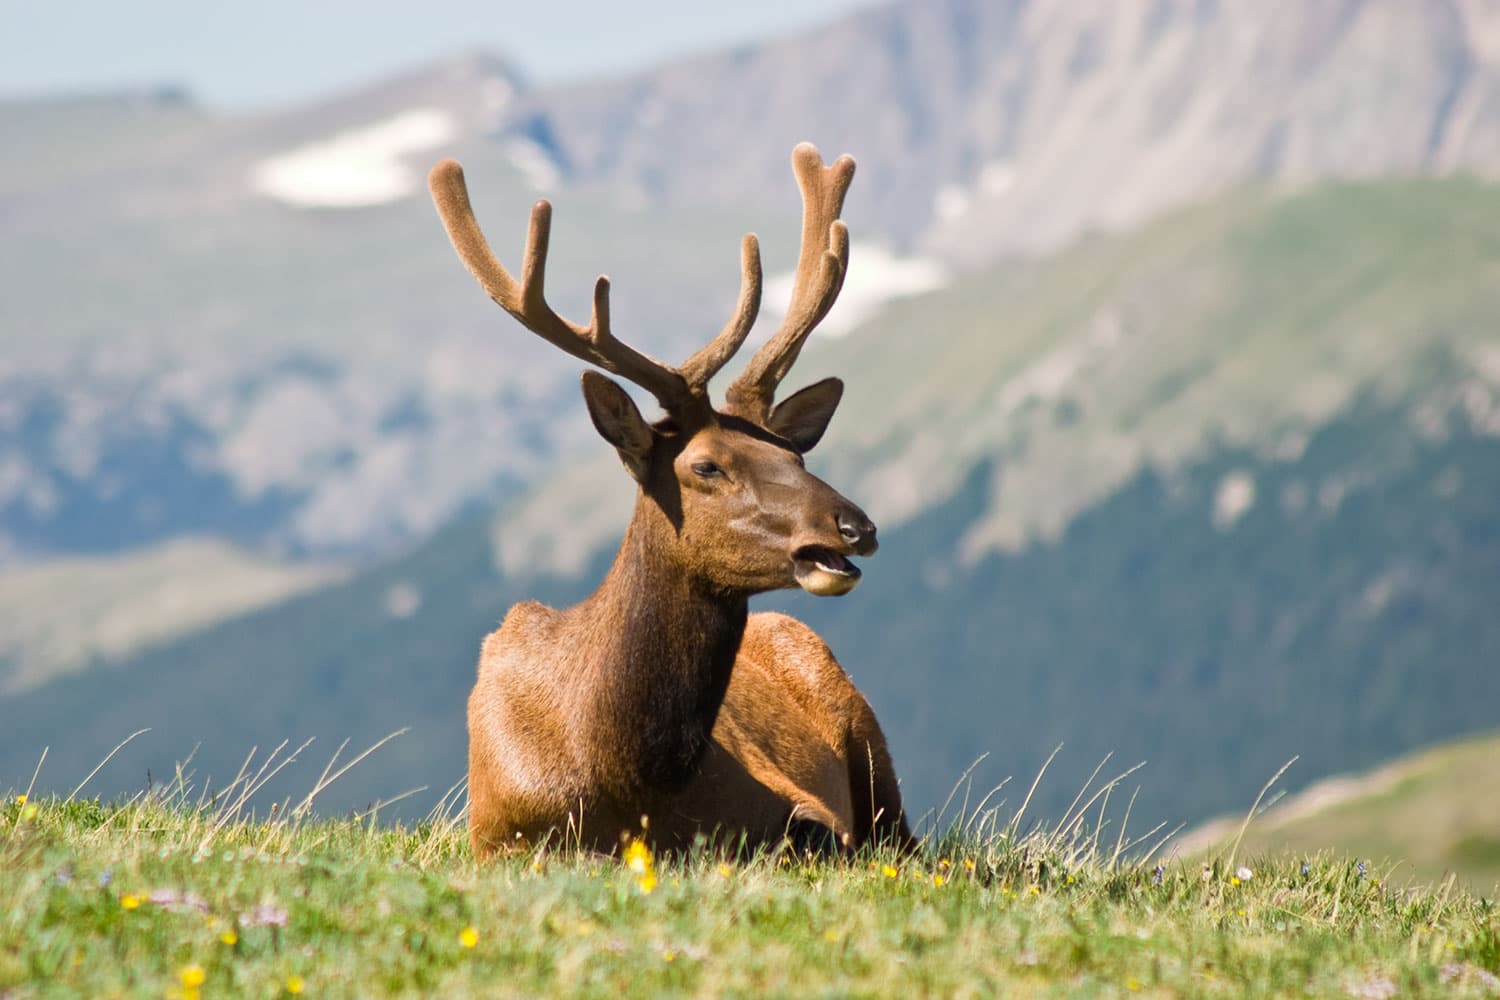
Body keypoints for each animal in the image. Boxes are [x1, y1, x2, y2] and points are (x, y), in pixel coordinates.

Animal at [428, 142, 912, 859]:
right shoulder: (496, 834)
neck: (623, 785)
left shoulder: (798, 806)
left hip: (872, 748)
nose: (855, 527)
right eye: (706, 465)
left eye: (796, 457)